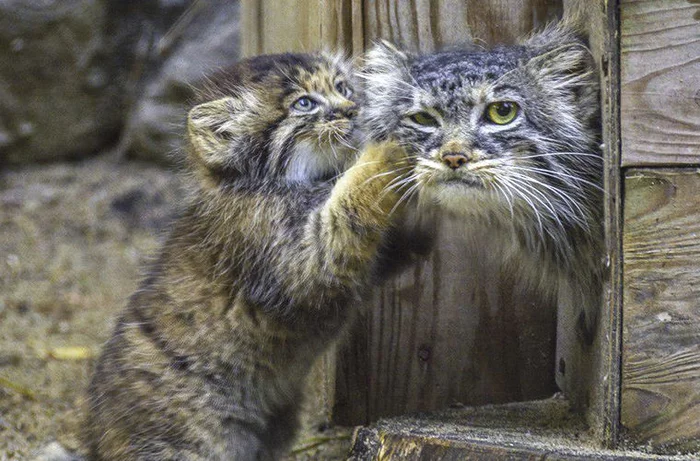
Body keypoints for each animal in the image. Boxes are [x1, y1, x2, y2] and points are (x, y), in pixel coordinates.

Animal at [87, 54, 412, 460]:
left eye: (343, 87)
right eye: (304, 103)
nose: (355, 110)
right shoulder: (295, 257)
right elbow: (346, 206)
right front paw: (386, 150)